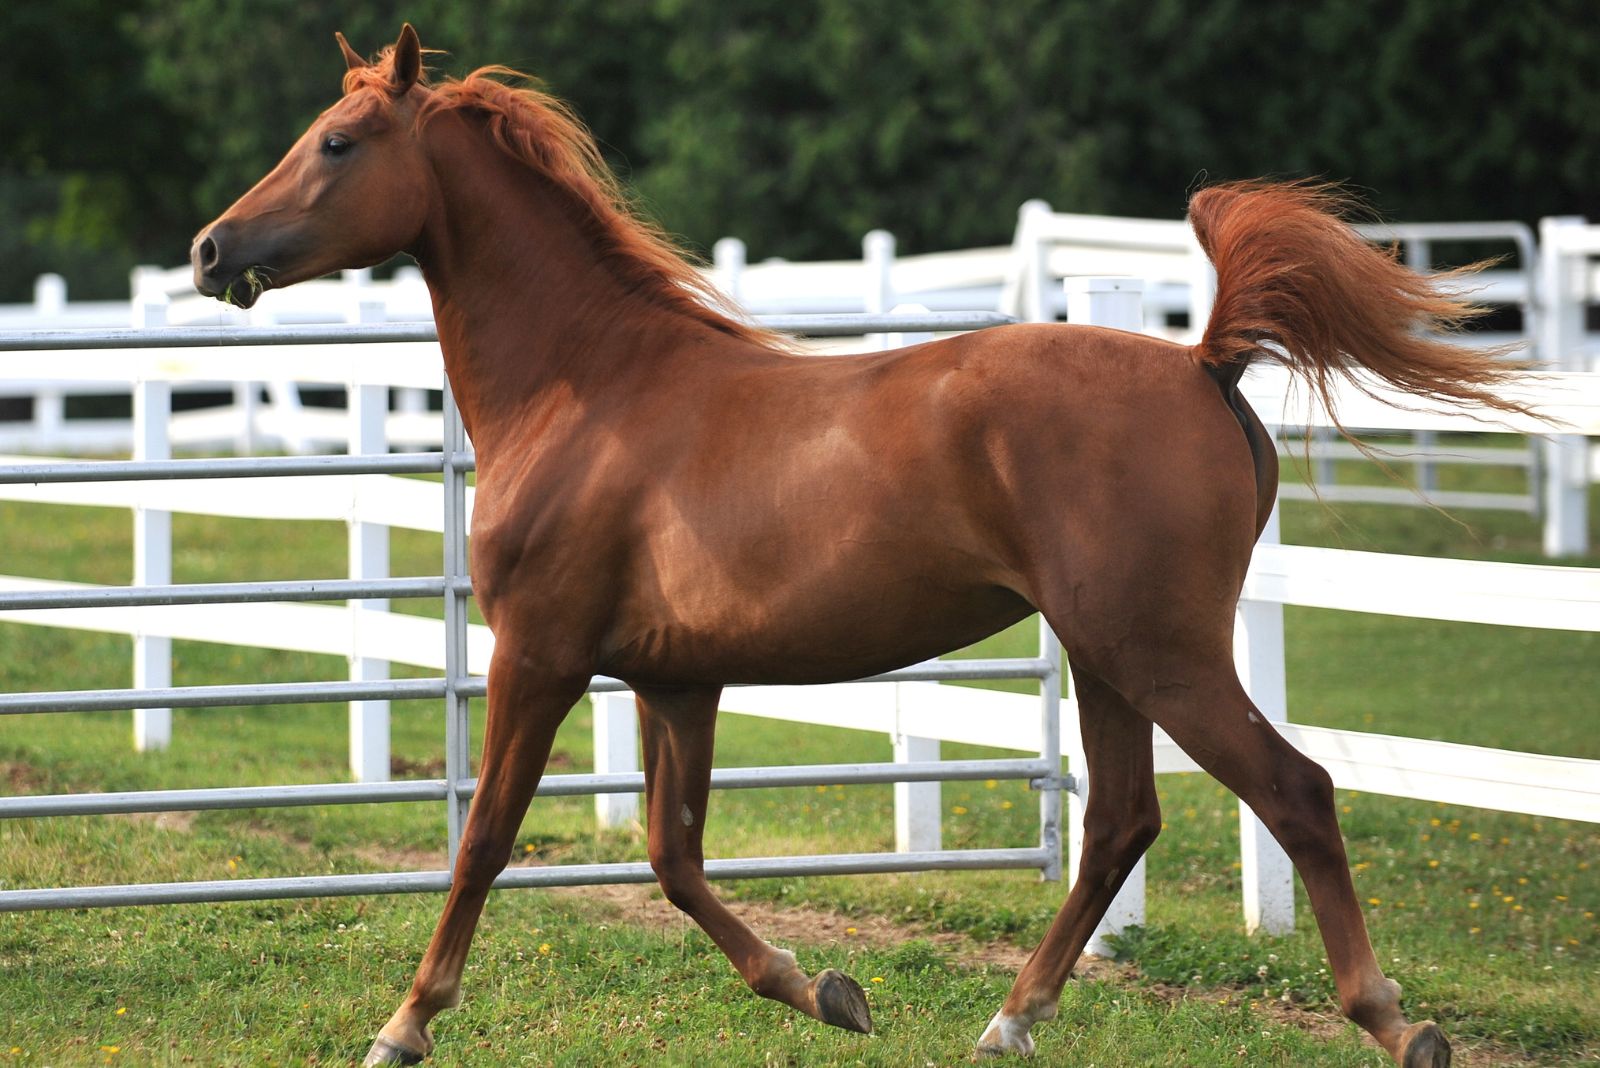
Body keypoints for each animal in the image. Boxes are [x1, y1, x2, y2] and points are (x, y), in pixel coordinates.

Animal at [193, 24, 1516, 1068]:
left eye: (339, 142)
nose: (212, 250)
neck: (587, 388)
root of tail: (1203, 361)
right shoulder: (677, 680)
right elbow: (674, 859)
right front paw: (825, 990)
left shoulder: (540, 656)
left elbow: (482, 844)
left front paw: (403, 1026)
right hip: (1105, 655)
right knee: (1119, 822)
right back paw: (1007, 1023)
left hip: (1161, 653)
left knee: (1293, 792)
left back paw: (1395, 1022)